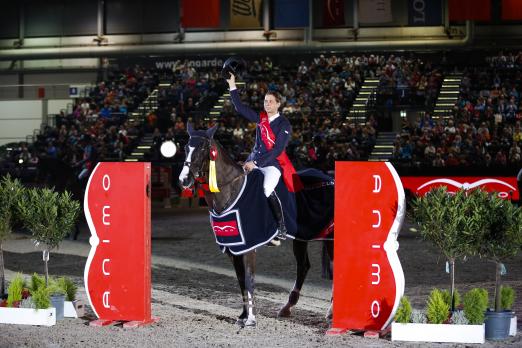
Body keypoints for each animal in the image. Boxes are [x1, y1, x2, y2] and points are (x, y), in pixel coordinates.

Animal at [179, 123, 334, 328]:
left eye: (203, 149)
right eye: (186, 148)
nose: (184, 180)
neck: (232, 190)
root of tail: (328, 178)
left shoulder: (249, 246)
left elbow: (249, 278)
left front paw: (251, 319)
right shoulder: (234, 248)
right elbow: (241, 280)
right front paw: (243, 315)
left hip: (331, 237)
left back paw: (331, 312)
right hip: (302, 237)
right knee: (303, 266)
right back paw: (287, 307)